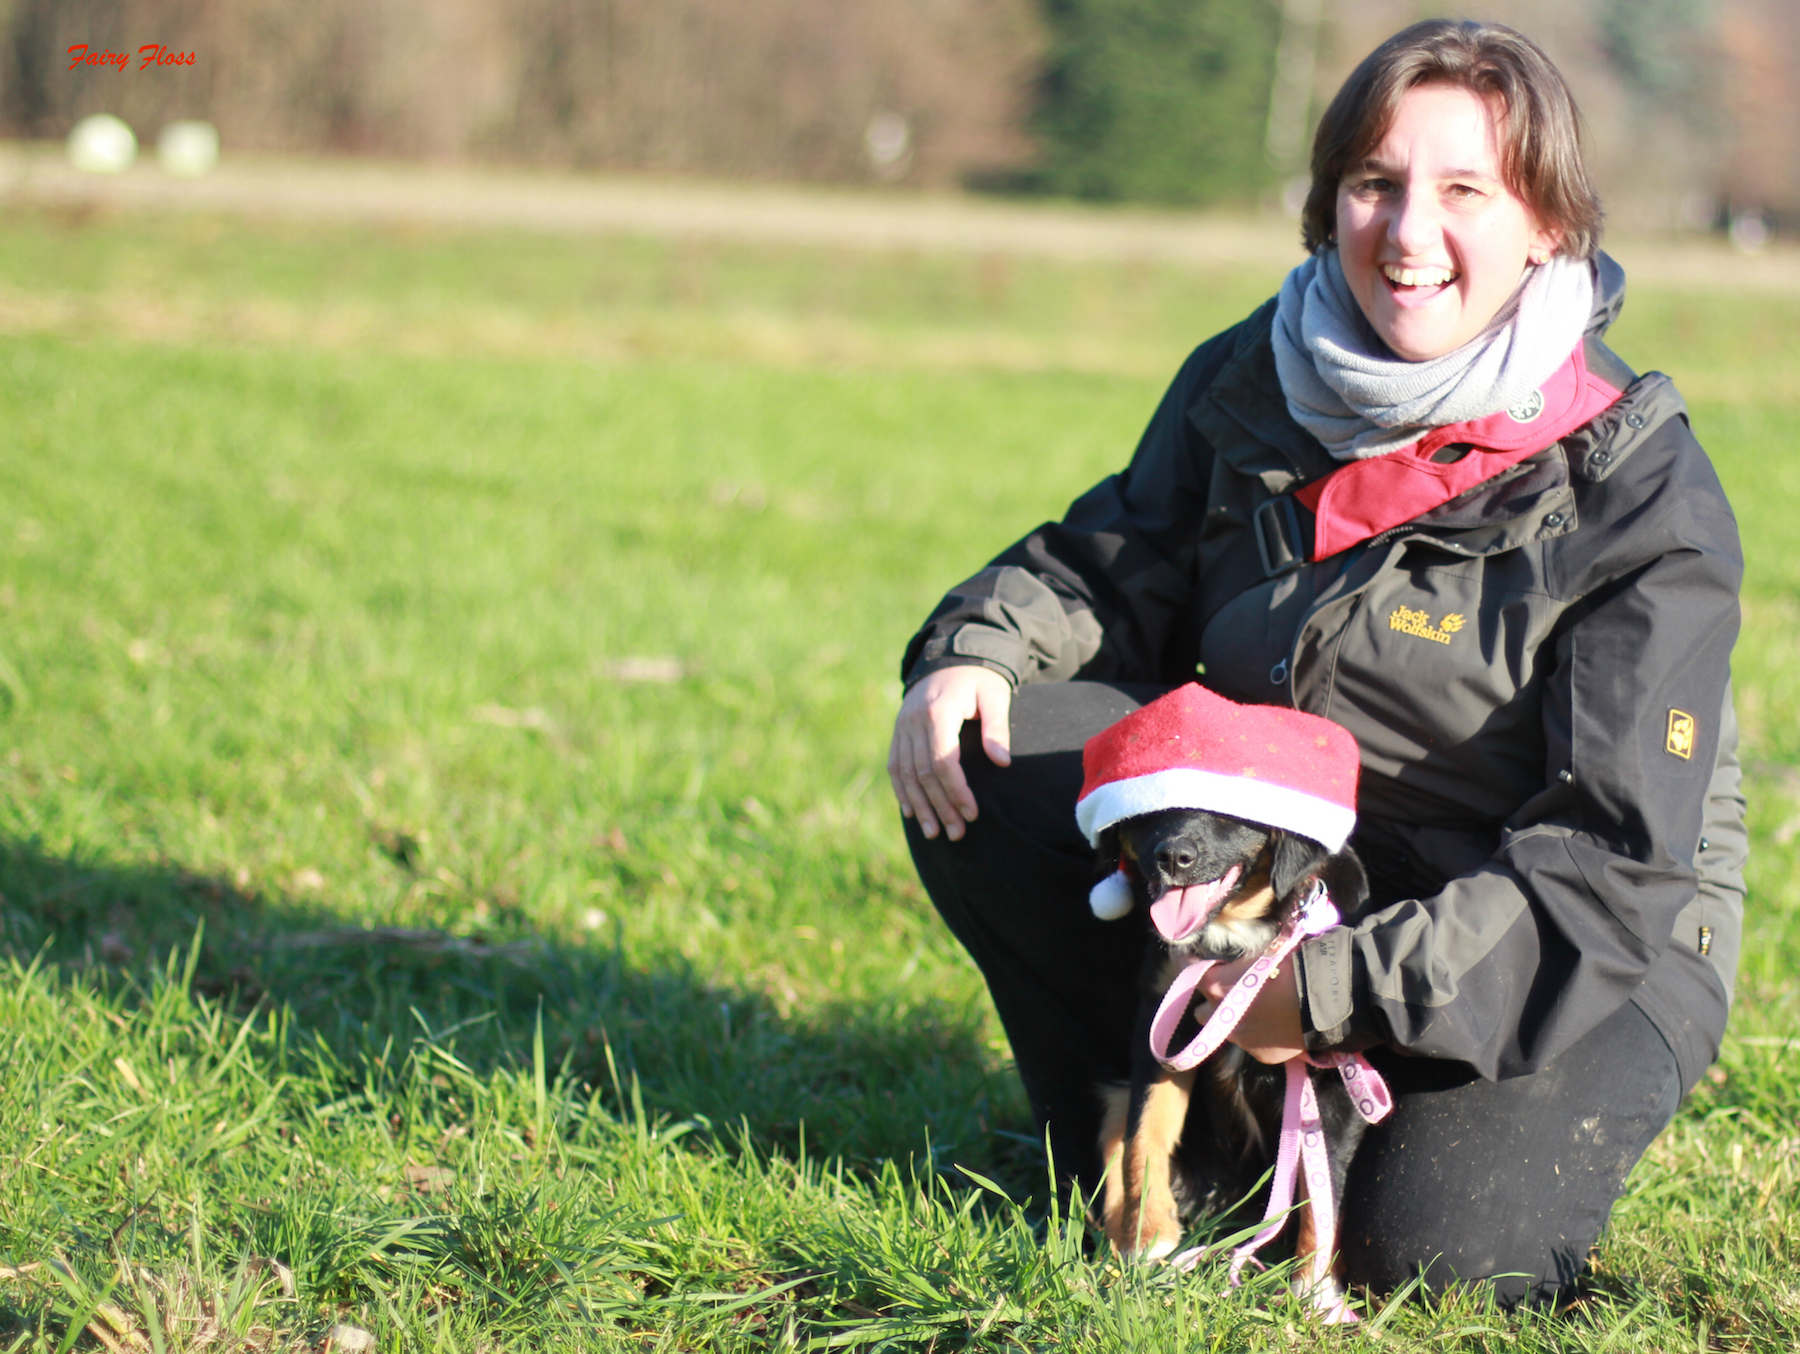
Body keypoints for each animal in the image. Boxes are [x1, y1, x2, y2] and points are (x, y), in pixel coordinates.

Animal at [1087, 799, 1368, 1267]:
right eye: (1151, 809)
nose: (1173, 858)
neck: (1235, 935)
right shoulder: (1161, 1023)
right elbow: (1146, 1130)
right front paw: (1147, 1232)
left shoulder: (1333, 1075)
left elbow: (1323, 1191)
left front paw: (1313, 1285)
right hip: (1117, 1092)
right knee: (1116, 1135)